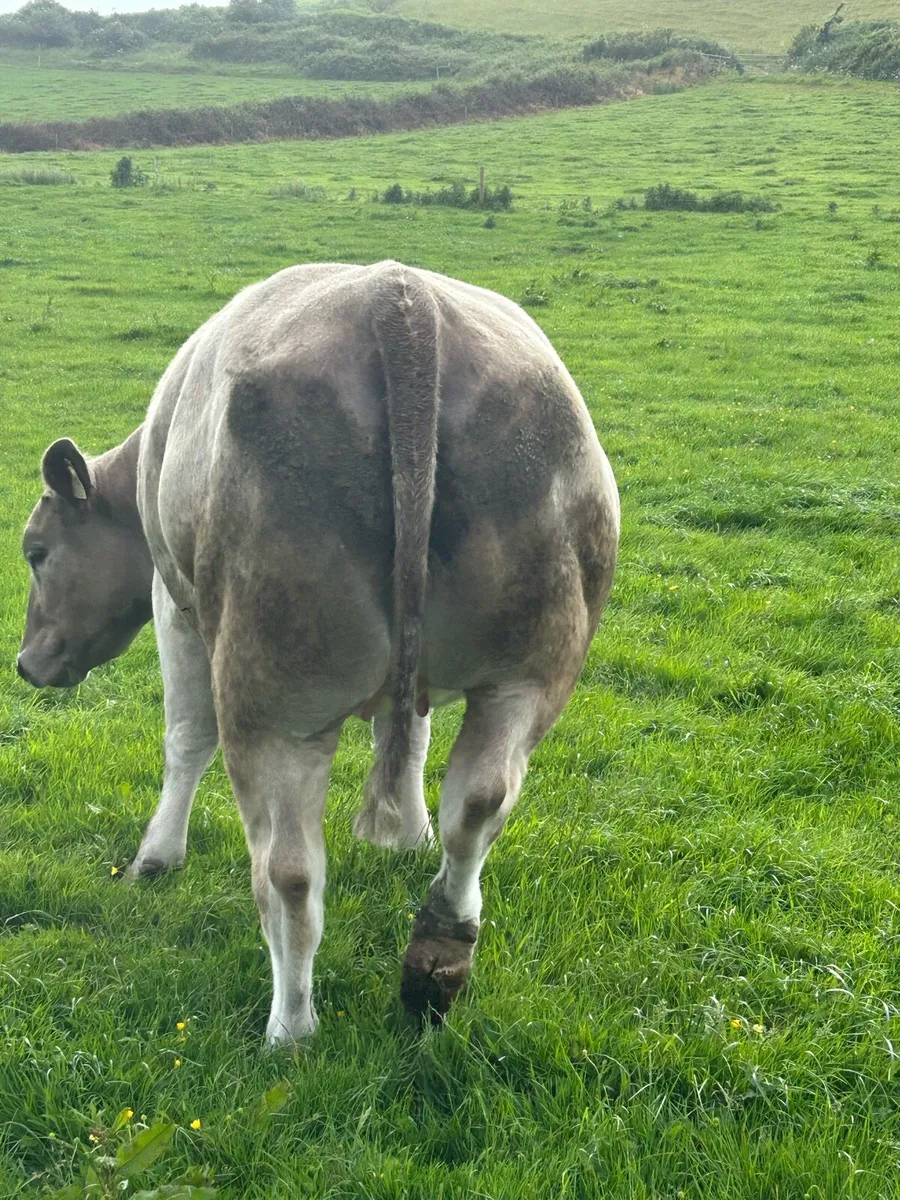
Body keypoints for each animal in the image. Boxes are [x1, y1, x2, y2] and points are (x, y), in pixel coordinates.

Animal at [18, 262, 619, 1043]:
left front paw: (157, 857)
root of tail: (402, 300)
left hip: (276, 696)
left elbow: (185, 739)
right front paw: (408, 836)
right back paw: (437, 956)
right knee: (480, 802)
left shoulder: (175, 605)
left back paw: (292, 1026)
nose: (25, 663)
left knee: (289, 871)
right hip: (526, 673)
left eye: (35, 552)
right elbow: (412, 735)